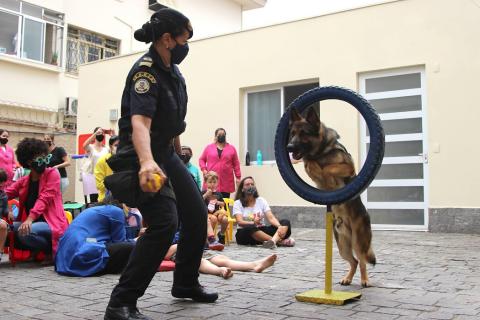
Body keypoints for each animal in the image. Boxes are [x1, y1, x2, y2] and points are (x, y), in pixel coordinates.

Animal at [288, 107, 376, 288]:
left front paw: (322, 169)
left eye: (303, 133)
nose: (289, 147)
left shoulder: (348, 167)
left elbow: (328, 168)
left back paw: (365, 280)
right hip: (342, 245)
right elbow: (312, 166)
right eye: (292, 133)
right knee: (354, 261)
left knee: (362, 260)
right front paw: (312, 164)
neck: (321, 152)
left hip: (358, 241)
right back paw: (347, 278)